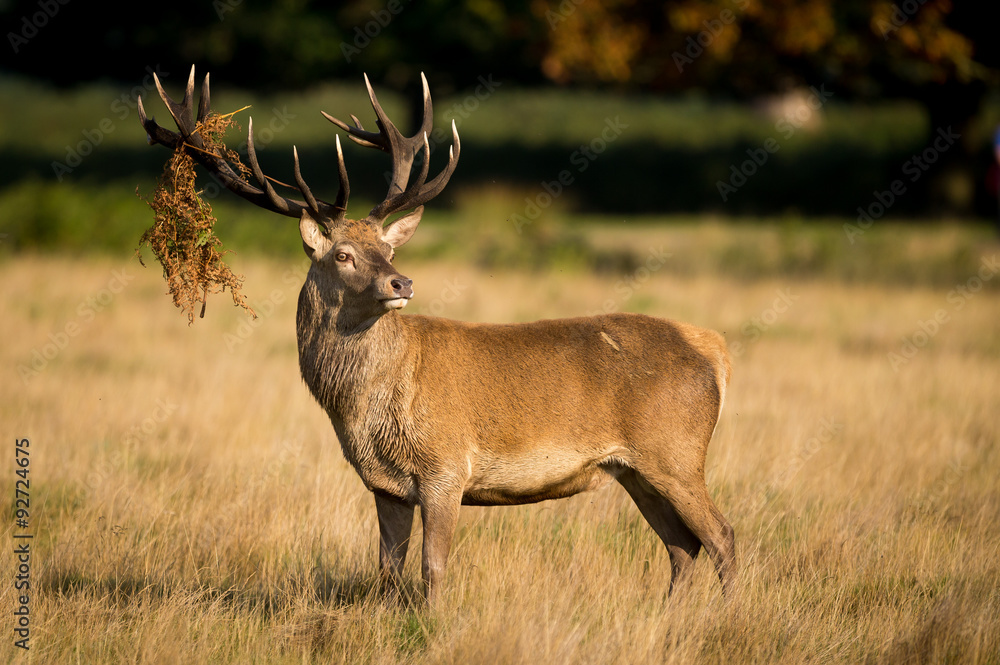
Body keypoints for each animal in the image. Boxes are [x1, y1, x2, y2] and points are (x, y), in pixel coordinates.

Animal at [138, 66, 737, 605]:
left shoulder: (447, 467)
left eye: (389, 248)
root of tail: (713, 351)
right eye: (344, 254)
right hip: (635, 469)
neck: (366, 408)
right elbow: (387, 570)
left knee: (721, 536)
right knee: (683, 547)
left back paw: (725, 619)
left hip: (675, 451)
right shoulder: (384, 485)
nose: (401, 282)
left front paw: (433, 625)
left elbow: (433, 567)